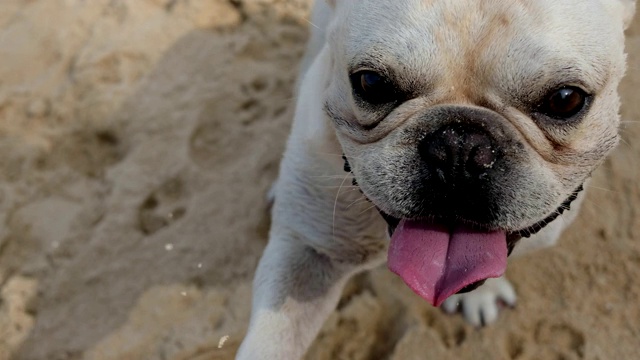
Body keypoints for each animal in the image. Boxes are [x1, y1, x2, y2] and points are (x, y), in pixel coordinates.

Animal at [239, 1, 636, 358]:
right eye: (373, 83)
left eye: (565, 99)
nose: (460, 147)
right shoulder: (309, 253)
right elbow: (273, 339)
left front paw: (481, 295)